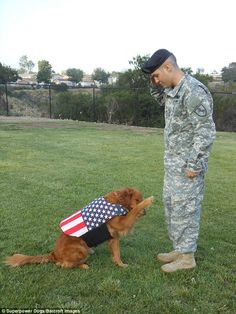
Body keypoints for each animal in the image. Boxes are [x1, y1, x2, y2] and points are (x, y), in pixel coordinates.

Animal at [5, 188, 154, 268]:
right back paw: (82, 265)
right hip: (80, 247)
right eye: (137, 200)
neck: (118, 202)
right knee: (63, 265)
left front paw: (120, 264)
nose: (146, 213)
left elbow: (117, 254)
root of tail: (53, 253)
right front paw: (149, 200)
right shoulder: (121, 222)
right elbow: (133, 212)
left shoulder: (114, 237)